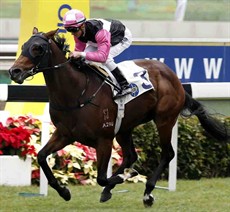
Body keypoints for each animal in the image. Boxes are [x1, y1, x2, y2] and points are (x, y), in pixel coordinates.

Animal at [8, 27, 228, 207]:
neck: (76, 92)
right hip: (125, 127)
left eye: (38, 48)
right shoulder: (65, 134)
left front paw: (126, 176)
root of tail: (175, 78)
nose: (13, 71)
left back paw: (147, 192)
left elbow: (101, 177)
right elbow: (42, 157)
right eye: (24, 46)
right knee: (131, 155)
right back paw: (111, 190)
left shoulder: (104, 139)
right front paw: (64, 192)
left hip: (164, 119)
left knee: (167, 154)